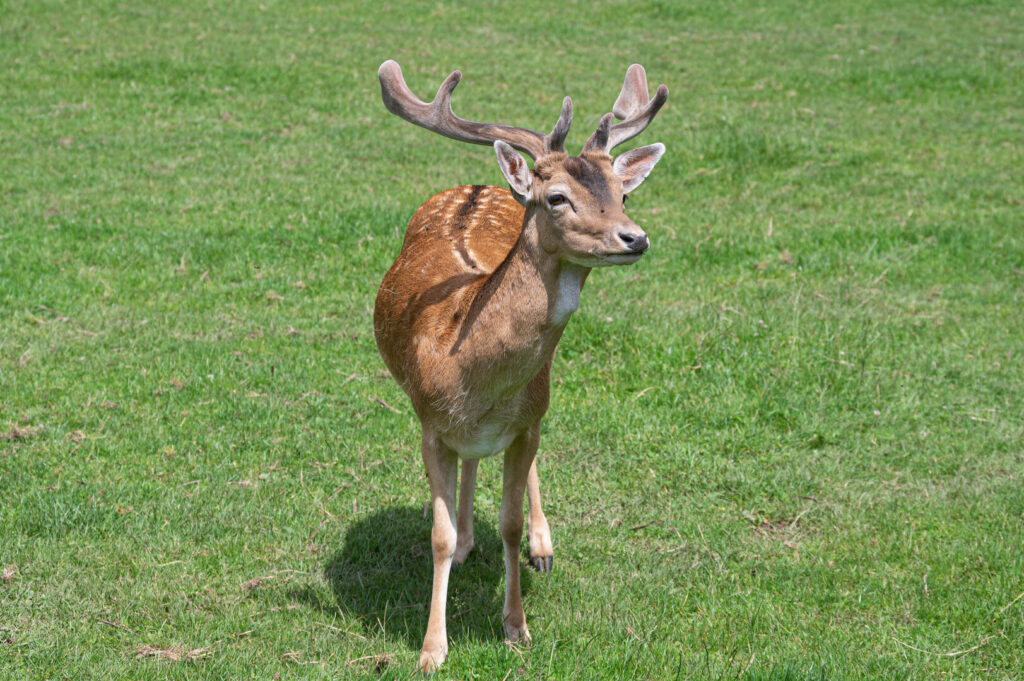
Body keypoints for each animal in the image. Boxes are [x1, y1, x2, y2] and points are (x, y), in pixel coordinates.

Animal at [372, 57, 667, 667]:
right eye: (556, 197)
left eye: (622, 195)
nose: (635, 238)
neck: (472, 371)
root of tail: (482, 184)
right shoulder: (429, 422)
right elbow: (436, 535)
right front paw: (431, 649)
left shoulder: (527, 422)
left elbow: (508, 523)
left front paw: (516, 627)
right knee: (470, 464)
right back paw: (467, 541)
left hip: (538, 403)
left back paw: (542, 546)